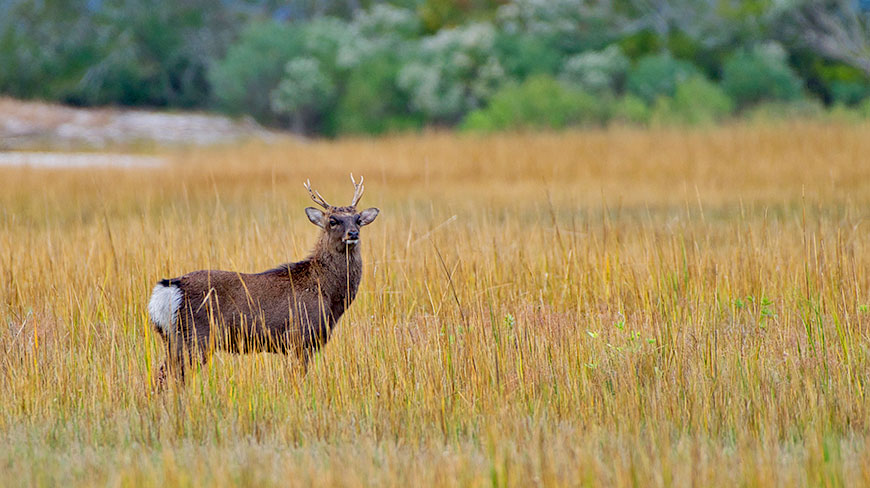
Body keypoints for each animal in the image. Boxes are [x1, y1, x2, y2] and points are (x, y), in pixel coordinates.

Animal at [147, 175, 379, 389]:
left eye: (358, 219)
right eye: (332, 220)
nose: (353, 233)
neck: (328, 294)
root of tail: (166, 290)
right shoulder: (298, 335)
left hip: (174, 339)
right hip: (194, 337)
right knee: (167, 377)